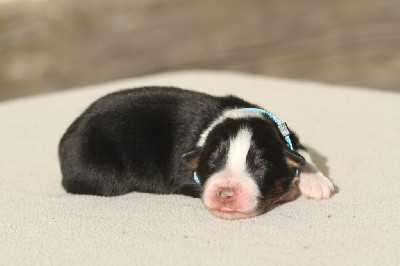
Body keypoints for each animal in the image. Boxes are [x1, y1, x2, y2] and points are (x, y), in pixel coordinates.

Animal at [58, 86, 334, 219]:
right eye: (212, 162)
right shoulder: (185, 178)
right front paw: (291, 190)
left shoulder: (288, 136)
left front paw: (317, 181)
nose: (225, 193)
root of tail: (65, 139)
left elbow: (301, 153)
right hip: (101, 176)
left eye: (260, 165)